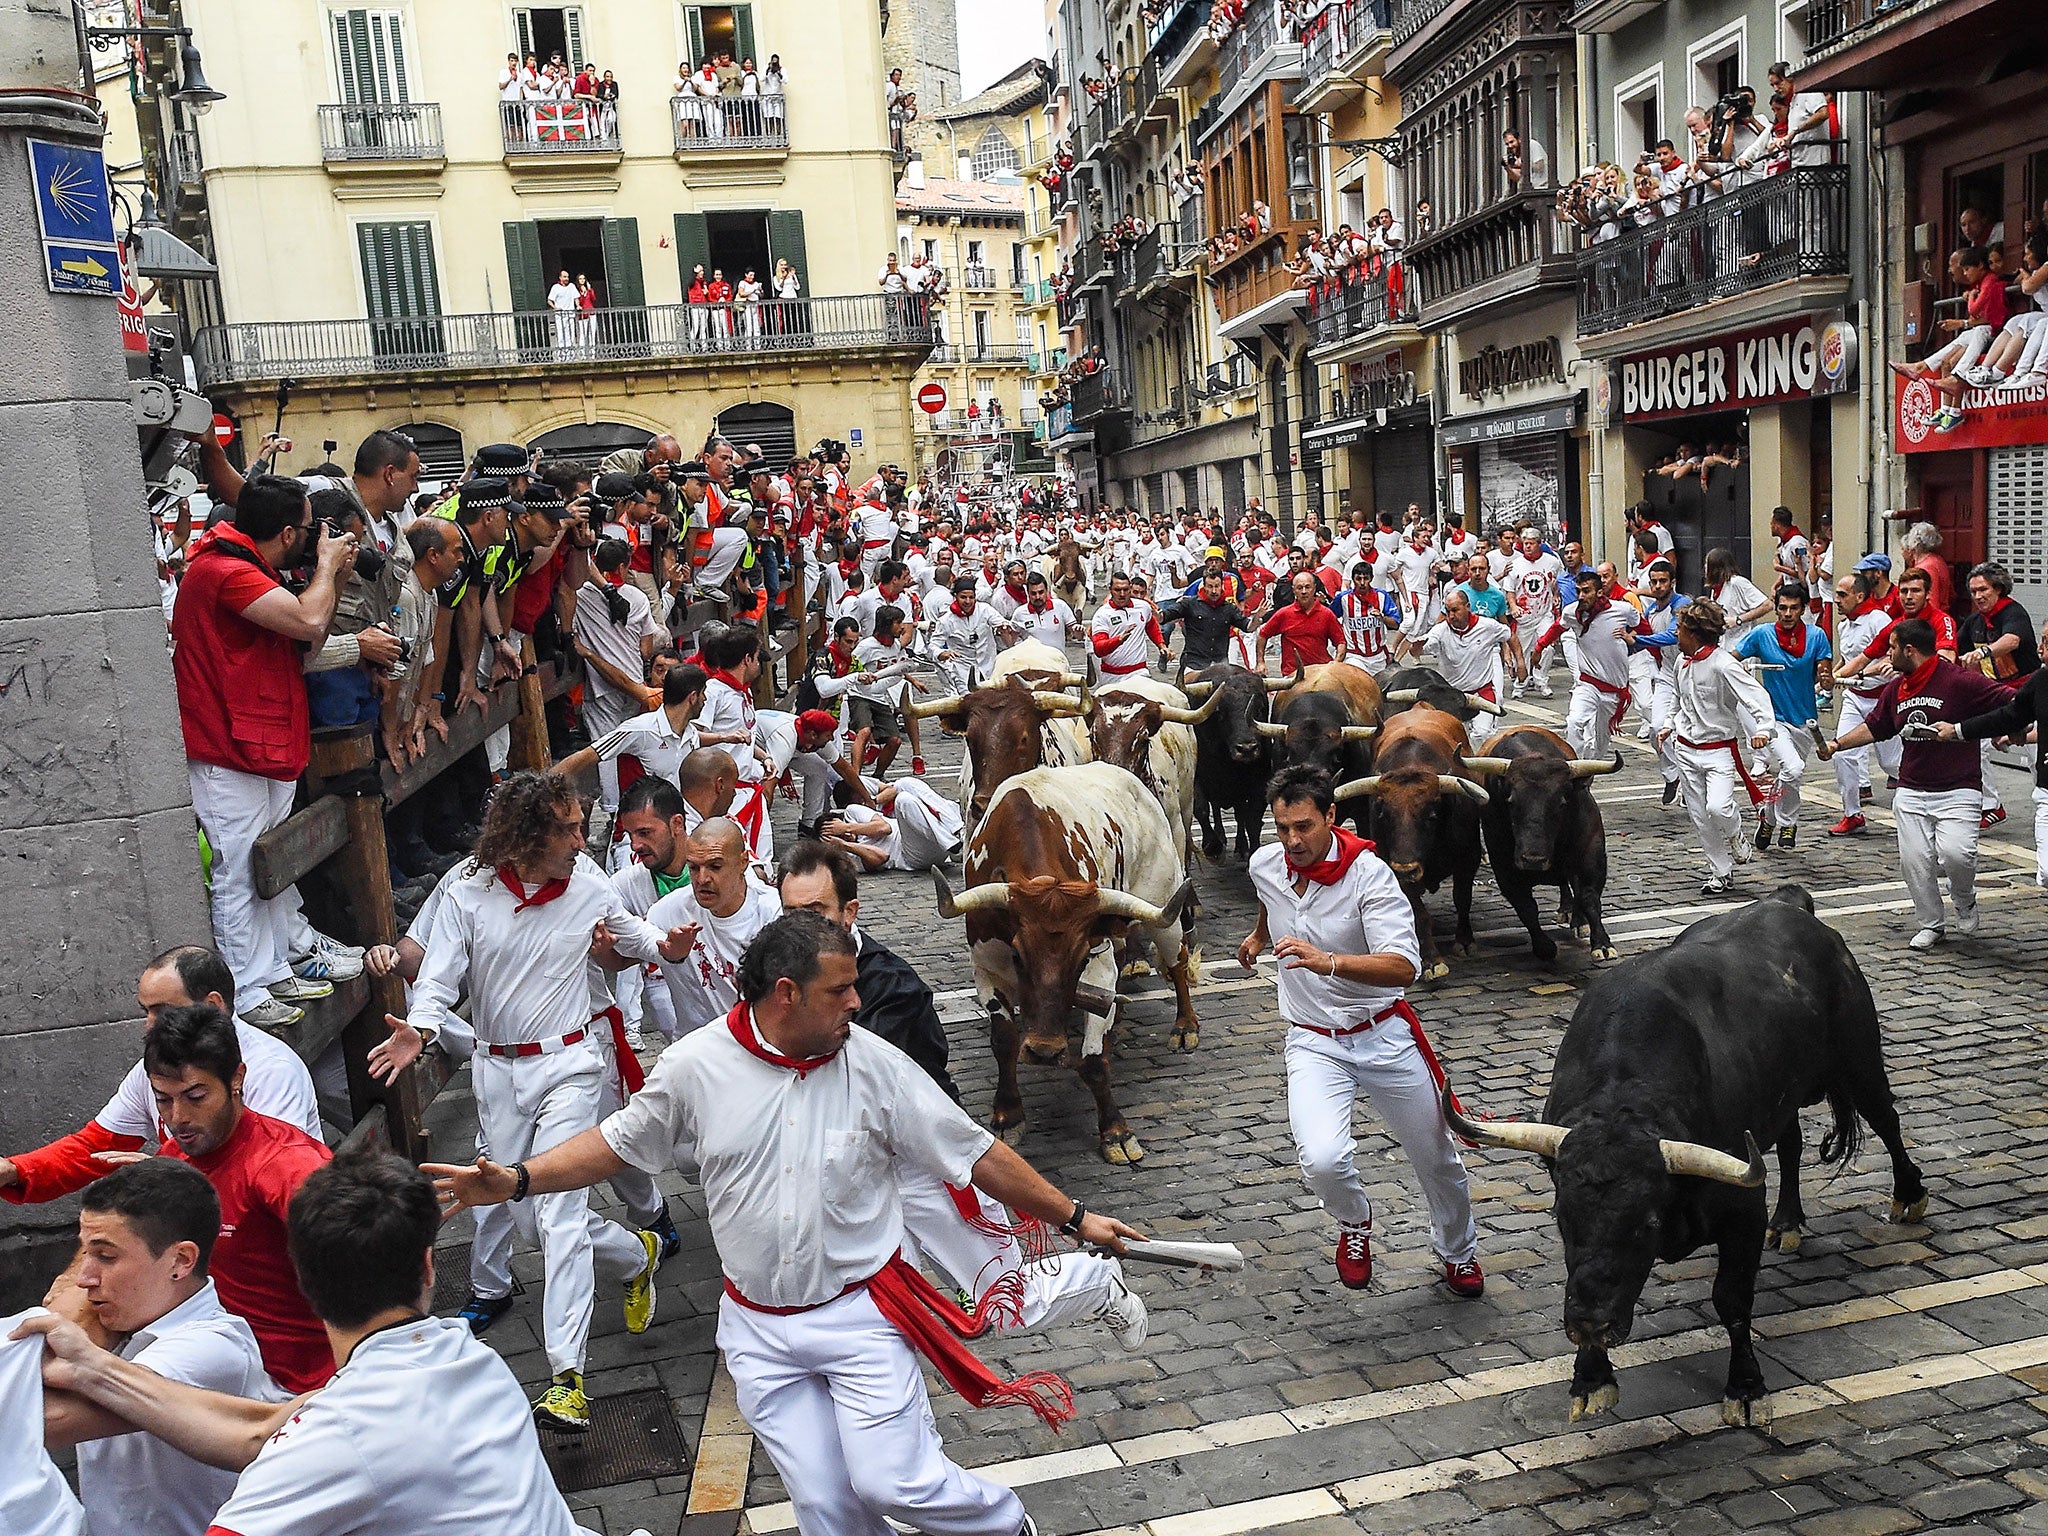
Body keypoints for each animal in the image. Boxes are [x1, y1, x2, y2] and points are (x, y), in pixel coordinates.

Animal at [933, 757, 1196, 1163]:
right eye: (1018, 954)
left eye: (1081, 957)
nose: (1044, 1052)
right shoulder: (987, 967)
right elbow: (1003, 1040)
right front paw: (1008, 1114)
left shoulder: (1098, 966)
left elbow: (1092, 1059)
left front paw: (1116, 1131)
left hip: (1161, 905)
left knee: (1177, 960)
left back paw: (1184, 1026)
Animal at [1449, 888, 1925, 1433]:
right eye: (1562, 1220)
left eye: (1646, 1223)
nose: (1591, 1323)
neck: (1624, 1096)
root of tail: (1791, 905)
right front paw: (1591, 1380)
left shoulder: (1741, 1209)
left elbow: (1732, 1300)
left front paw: (1746, 1388)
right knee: (1790, 1144)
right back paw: (1787, 1221)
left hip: (1858, 1059)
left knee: (1888, 1120)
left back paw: (1910, 1197)